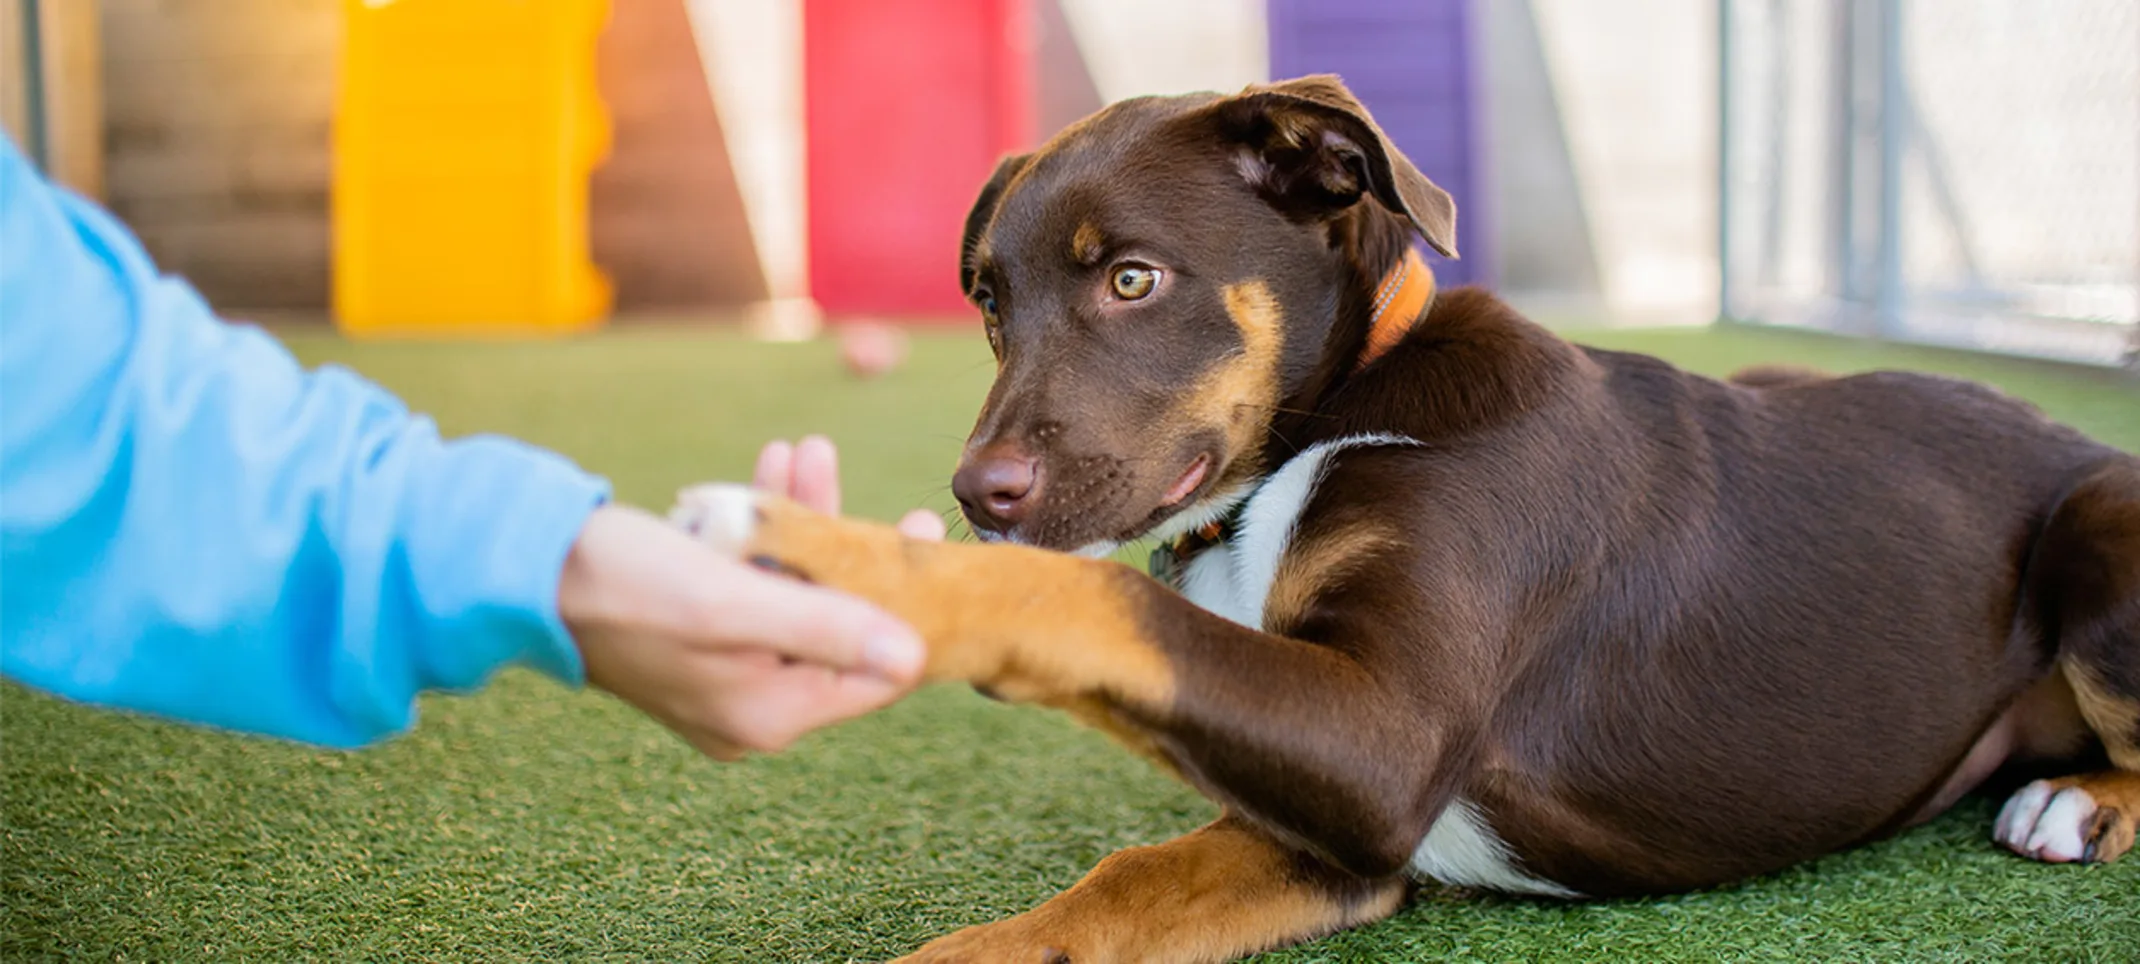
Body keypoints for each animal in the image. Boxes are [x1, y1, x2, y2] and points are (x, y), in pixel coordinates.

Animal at [676, 77, 2140, 964]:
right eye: (985, 301)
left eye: (1133, 280)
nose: (977, 495)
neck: (1327, 423)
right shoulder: (1339, 830)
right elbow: (1121, 883)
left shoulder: (1386, 740)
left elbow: (1095, 596)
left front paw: (840, 559)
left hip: (2100, 523)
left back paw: (2075, 799)